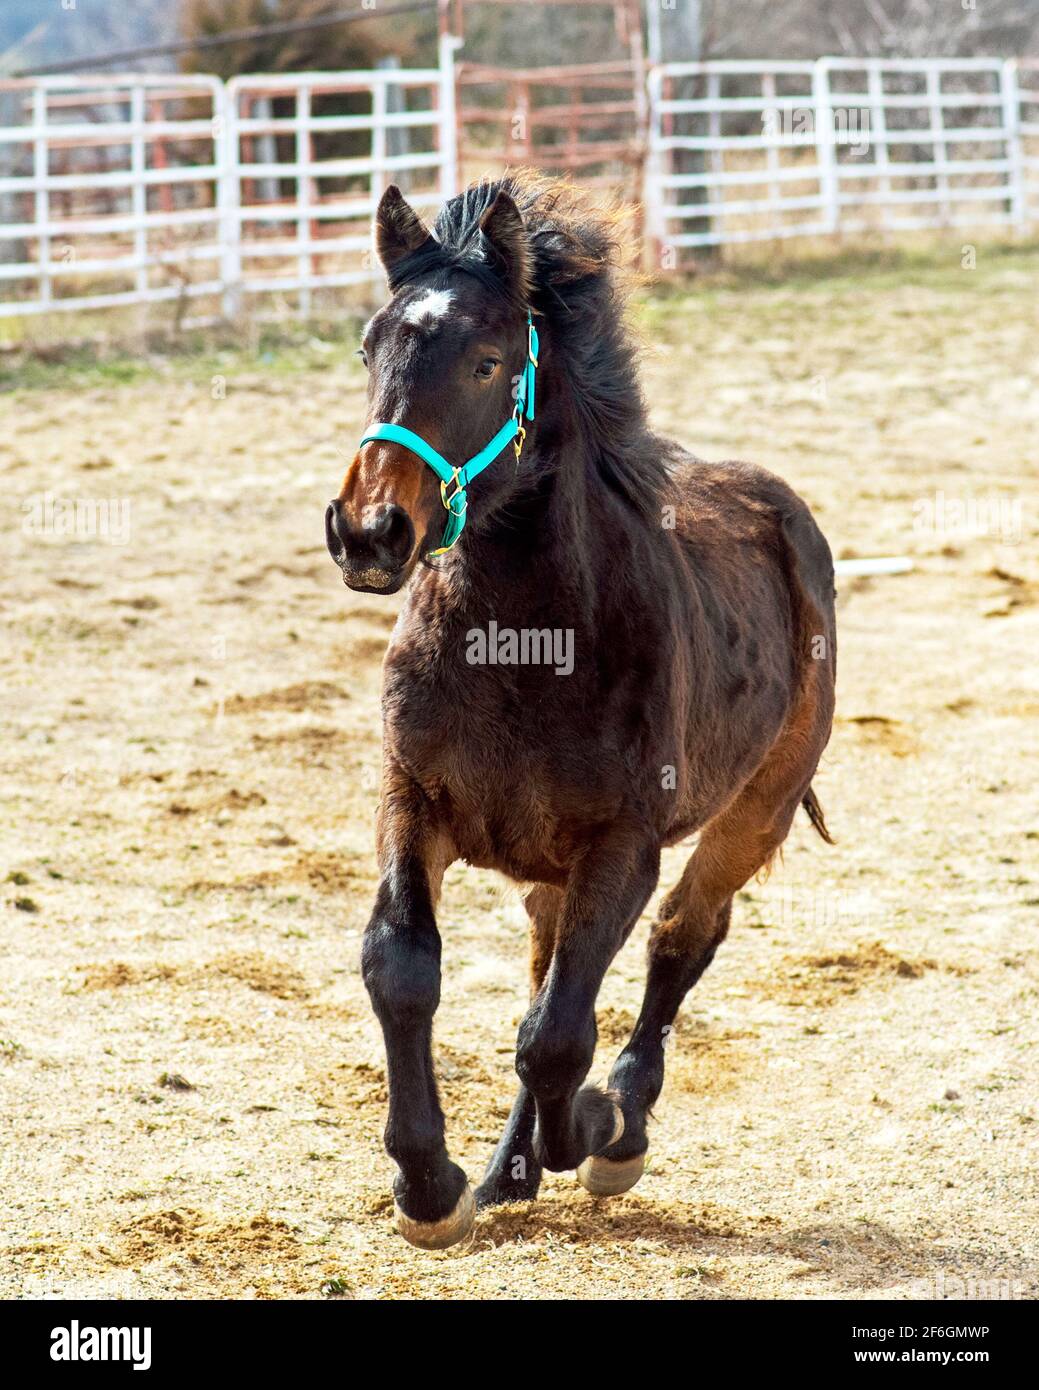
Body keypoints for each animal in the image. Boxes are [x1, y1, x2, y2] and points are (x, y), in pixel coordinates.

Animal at [325, 170, 834, 1251]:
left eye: (486, 360)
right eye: (369, 347)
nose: (368, 532)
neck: (521, 644)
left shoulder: (622, 847)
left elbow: (560, 1033)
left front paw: (584, 1129)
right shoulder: (411, 801)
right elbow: (405, 965)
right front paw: (430, 1184)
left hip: (754, 811)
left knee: (680, 942)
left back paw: (615, 1128)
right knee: (551, 963)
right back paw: (512, 1171)